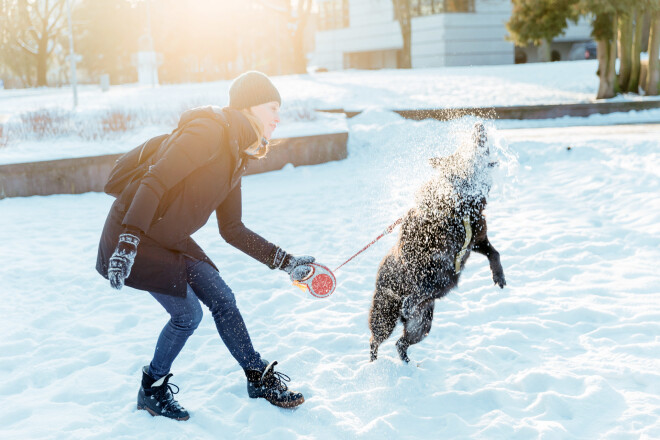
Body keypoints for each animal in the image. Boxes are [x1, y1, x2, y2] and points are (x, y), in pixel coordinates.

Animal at [368, 122, 502, 362]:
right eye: (462, 149)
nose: (479, 124)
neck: (464, 204)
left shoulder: (477, 240)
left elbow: (494, 253)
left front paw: (499, 276)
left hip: (422, 324)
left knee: (401, 343)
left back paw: (407, 362)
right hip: (385, 314)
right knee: (375, 340)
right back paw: (373, 364)